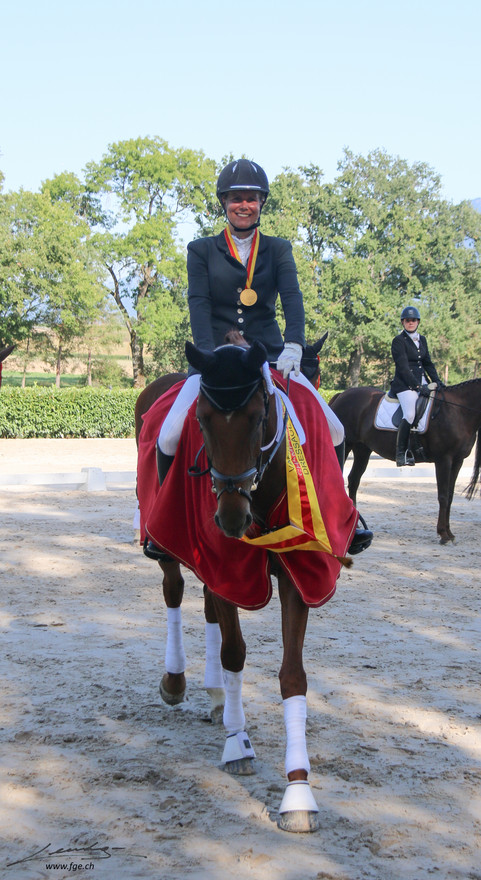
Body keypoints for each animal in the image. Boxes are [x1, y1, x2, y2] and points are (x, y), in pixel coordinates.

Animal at [136, 337, 357, 832]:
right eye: (201, 420)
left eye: (258, 417)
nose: (231, 519)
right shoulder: (223, 562)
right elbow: (234, 652)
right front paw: (238, 743)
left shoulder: (297, 573)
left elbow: (292, 675)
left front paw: (298, 791)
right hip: (168, 542)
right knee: (175, 593)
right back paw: (177, 681)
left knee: (206, 608)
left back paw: (217, 696)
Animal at [329, 382, 481, 545]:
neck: (458, 411)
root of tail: (342, 394)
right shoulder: (443, 459)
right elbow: (443, 496)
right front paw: (443, 534)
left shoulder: (457, 460)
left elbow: (450, 497)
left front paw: (450, 533)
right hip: (346, 445)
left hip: (362, 449)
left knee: (354, 480)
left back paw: (355, 524)